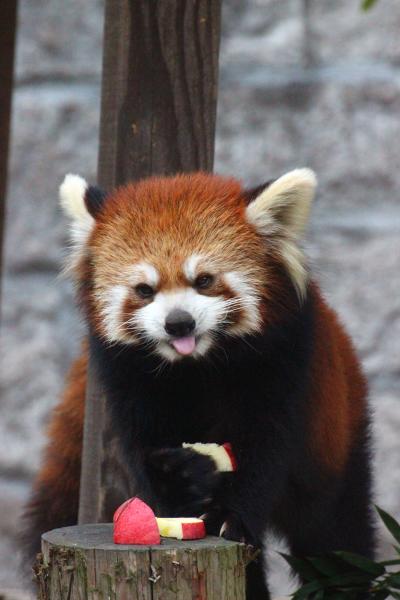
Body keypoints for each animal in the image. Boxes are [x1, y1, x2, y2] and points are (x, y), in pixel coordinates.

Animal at [21, 170, 374, 600]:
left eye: (204, 280)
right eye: (144, 290)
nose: (179, 322)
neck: (196, 366)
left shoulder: (285, 362)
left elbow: (266, 446)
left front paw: (230, 516)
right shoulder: (127, 377)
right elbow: (144, 448)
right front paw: (178, 487)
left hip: (336, 442)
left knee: (337, 535)